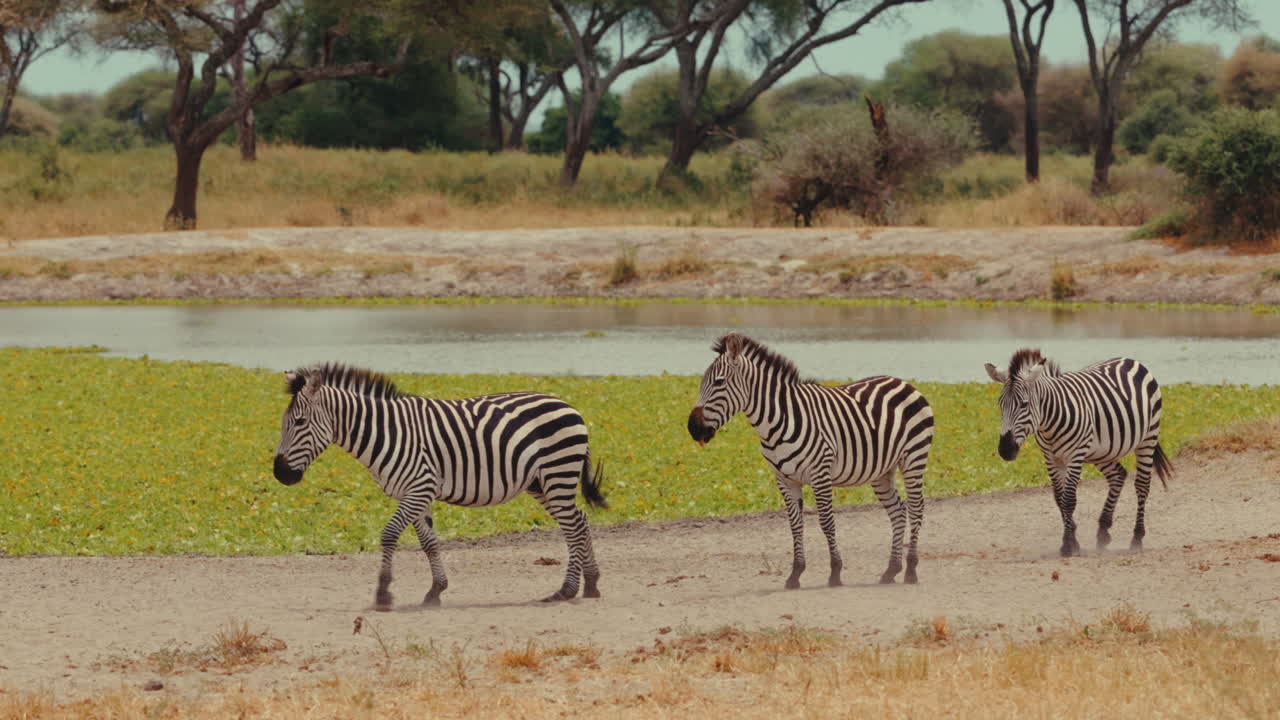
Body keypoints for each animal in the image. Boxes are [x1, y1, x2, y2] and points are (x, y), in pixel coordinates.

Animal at [272, 363, 607, 609]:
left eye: (299, 422)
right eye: (284, 422)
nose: (279, 474)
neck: (386, 432)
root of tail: (568, 405)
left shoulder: (419, 487)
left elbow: (389, 534)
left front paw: (383, 593)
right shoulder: (415, 494)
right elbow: (429, 542)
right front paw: (436, 591)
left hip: (557, 473)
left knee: (573, 526)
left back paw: (567, 590)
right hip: (541, 482)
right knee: (580, 520)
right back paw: (590, 584)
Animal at [687, 333, 934, 589]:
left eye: (719, 383)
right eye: (701, 382)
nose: (692, 428)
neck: (778, 421)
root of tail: (903, 382)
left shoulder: (820, 473)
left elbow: (826, 522)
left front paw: (835, 572)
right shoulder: (785, 479)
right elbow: (795, 525)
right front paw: (795, 574)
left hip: (914, 459)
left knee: (916, 508)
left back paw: (911, 570)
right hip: (882, 471)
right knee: (898, 511)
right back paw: (891, 570)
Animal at [984, 348, 1172, 557]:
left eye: (1024, 404)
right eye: (1000, 404)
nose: (1005, 450)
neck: (1049, 423)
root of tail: (1130, 359)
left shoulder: (1075, 455)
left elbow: (1068, 500)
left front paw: (1068, 544)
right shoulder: (1051, 458)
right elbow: (1059, 498)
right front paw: (1073, 538)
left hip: (1148, 437)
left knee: (1142, 485)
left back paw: (1137, 538)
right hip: (1101, 450)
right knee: (1118, 475)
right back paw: (1103, 531)